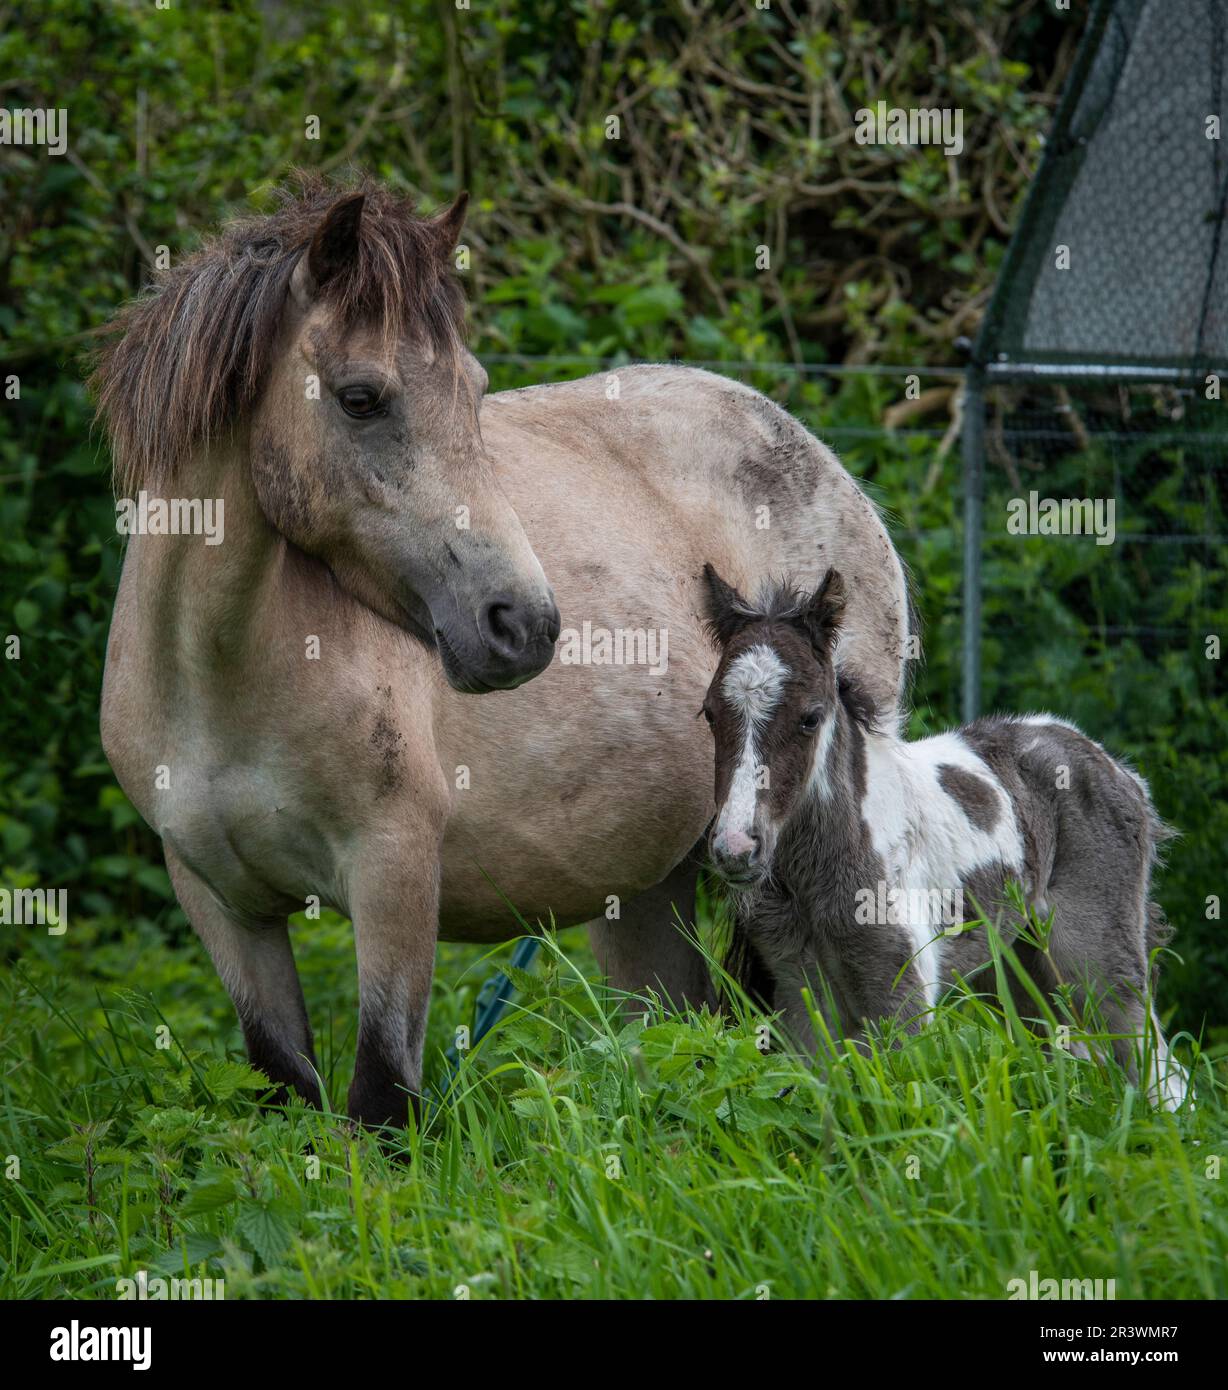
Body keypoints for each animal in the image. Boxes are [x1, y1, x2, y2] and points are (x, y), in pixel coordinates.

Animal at [95, 176, 912, 1128]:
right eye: (360, 398)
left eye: (475, 389)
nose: (523, 624)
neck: (216, 678)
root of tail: (819, 460)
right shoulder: (223, 905)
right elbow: (285, 1087)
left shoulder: (394, 877)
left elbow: (381, 1100)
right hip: (647, 888)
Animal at [700, 564, 1190, 1106]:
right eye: (709, 713)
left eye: (809, 717)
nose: (736, 850)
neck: (816, 875)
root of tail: (1120, 771)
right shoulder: (798, 996)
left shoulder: (902, 997)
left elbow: (904, 1101)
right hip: (1022, 965)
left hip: (1096, 958)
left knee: (1159, 1070)